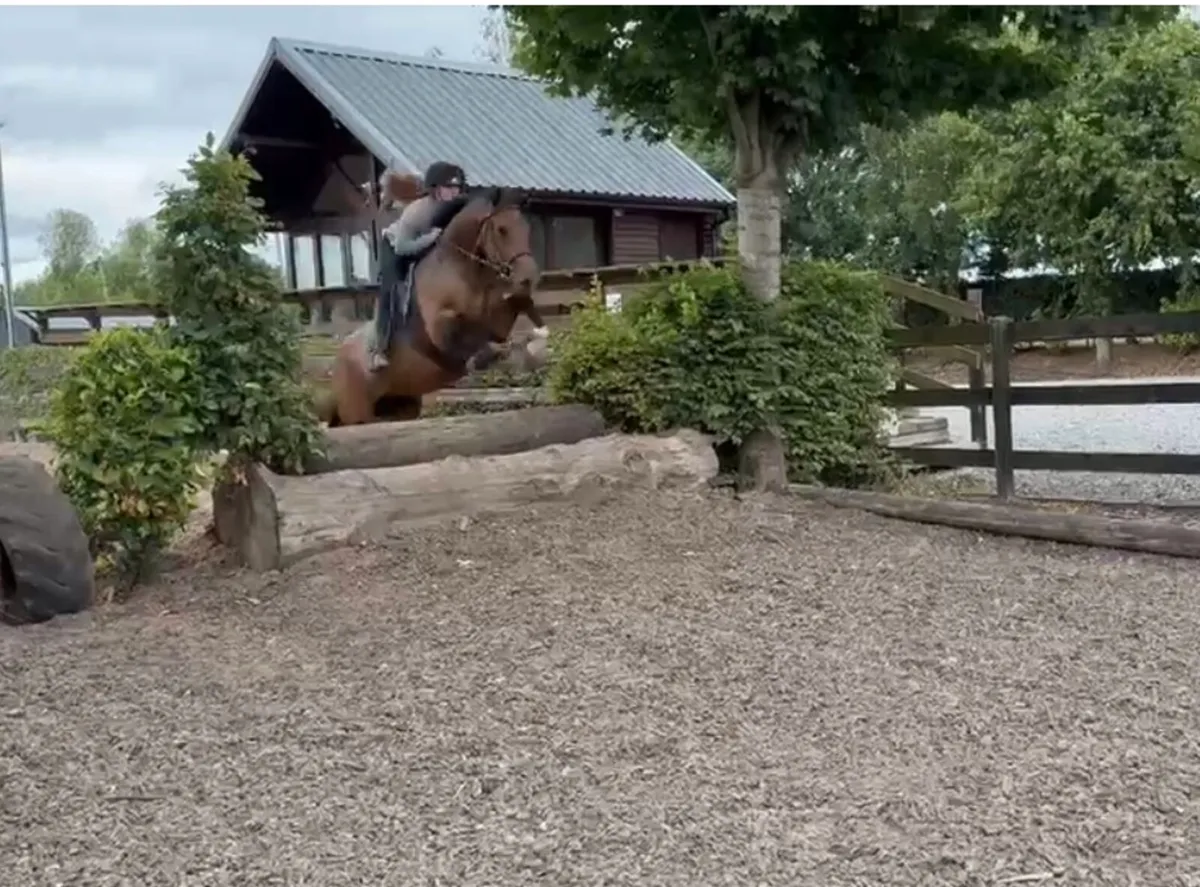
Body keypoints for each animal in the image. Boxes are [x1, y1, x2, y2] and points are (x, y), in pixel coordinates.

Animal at [317, 172, 548, 428]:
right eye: (501, 229)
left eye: (527, 229)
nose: (529, 277)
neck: (463, 270)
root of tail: (336, 363)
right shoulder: (438, 327)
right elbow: (461, 335)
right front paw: (485, 356)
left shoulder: (496, 322)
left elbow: (513, 307)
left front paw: (537, 334)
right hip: (357, 412)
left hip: (402, 405)